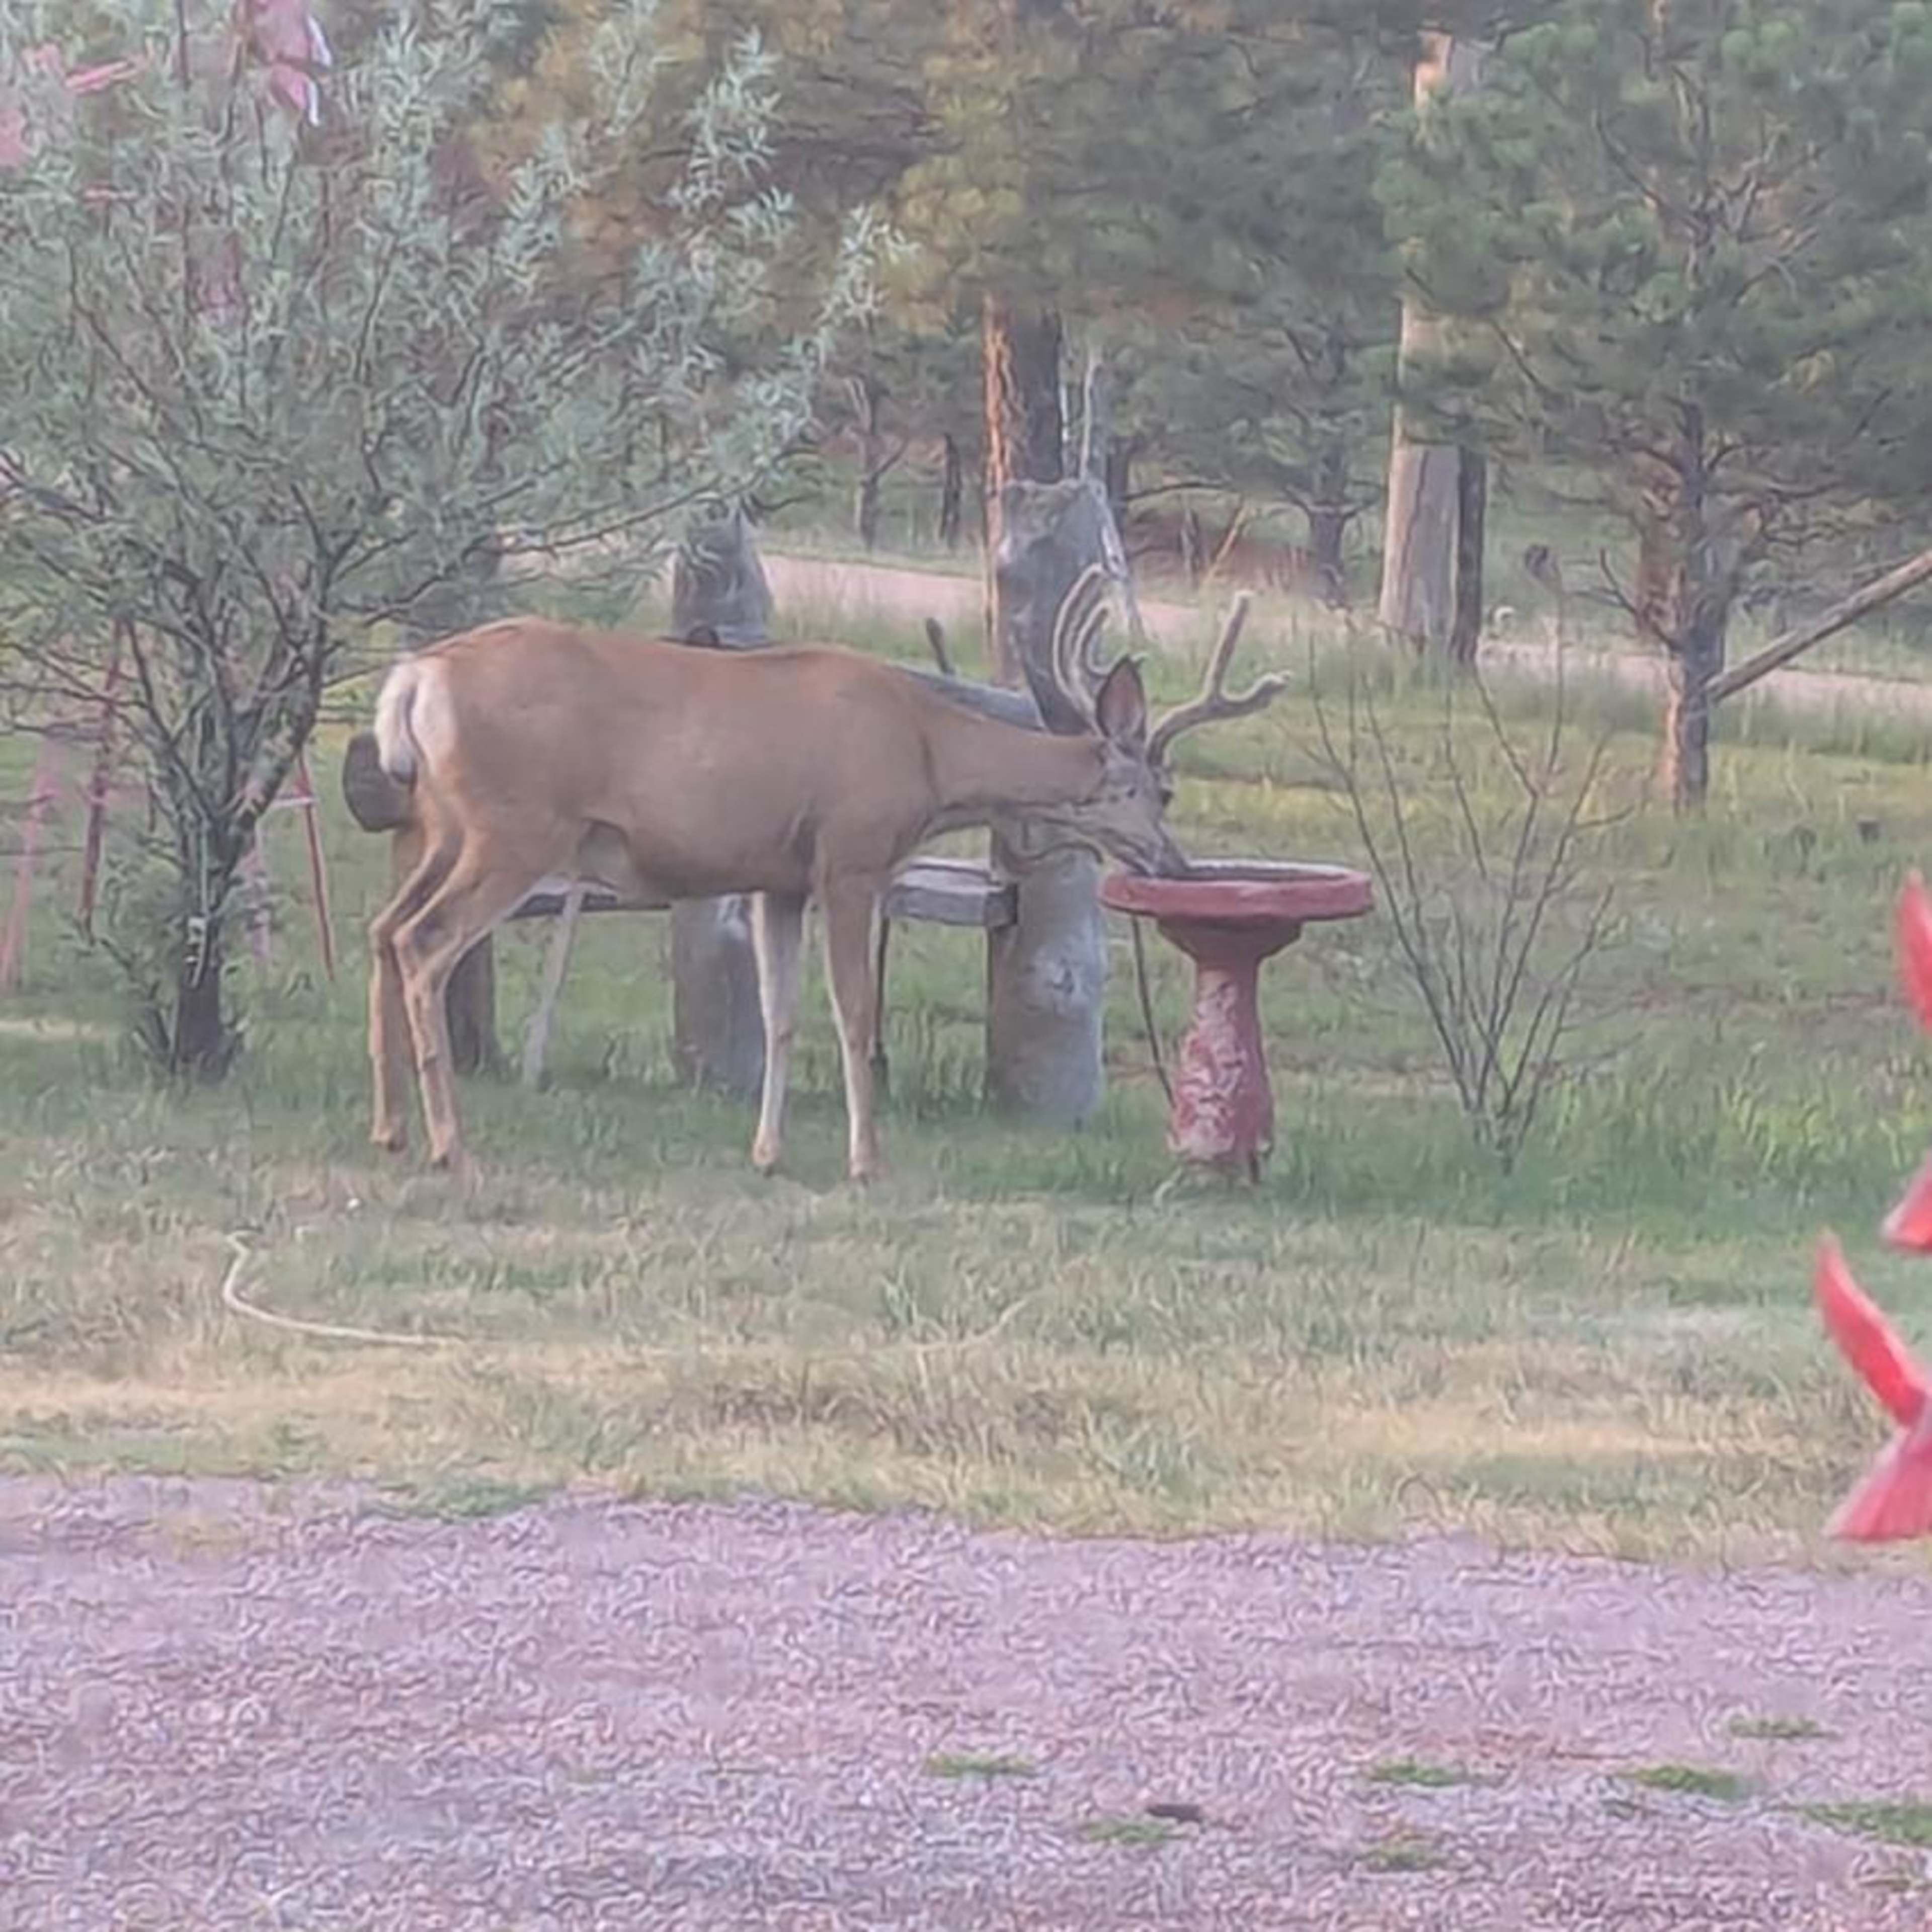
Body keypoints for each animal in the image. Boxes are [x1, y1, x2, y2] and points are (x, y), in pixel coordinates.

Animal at [364, 569, 1285, 1184]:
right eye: (1162, 790)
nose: (1179, 865)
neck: (930, 756)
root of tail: (416, 677)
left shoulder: (780, 878)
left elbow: (778, 1017)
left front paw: (767, 1153)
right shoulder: (851, 855)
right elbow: (852, 1012)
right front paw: (865, 1159)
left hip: (440, 826)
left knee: (382, 928)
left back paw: (391, 1130)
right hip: (516, 826)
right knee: (424, 943)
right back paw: (449, 1144)